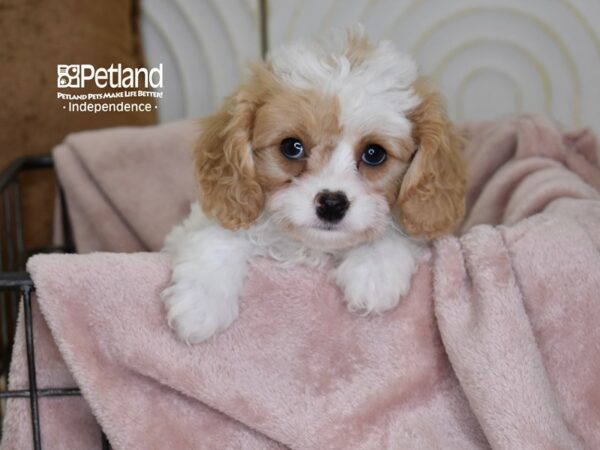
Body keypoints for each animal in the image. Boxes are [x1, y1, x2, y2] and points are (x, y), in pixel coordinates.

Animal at [162, 28, 466, 342]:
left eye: (374, 153)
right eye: (291, 147)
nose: (332, 203)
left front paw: (374, 273)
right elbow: (216, 238)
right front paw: (200, 305)